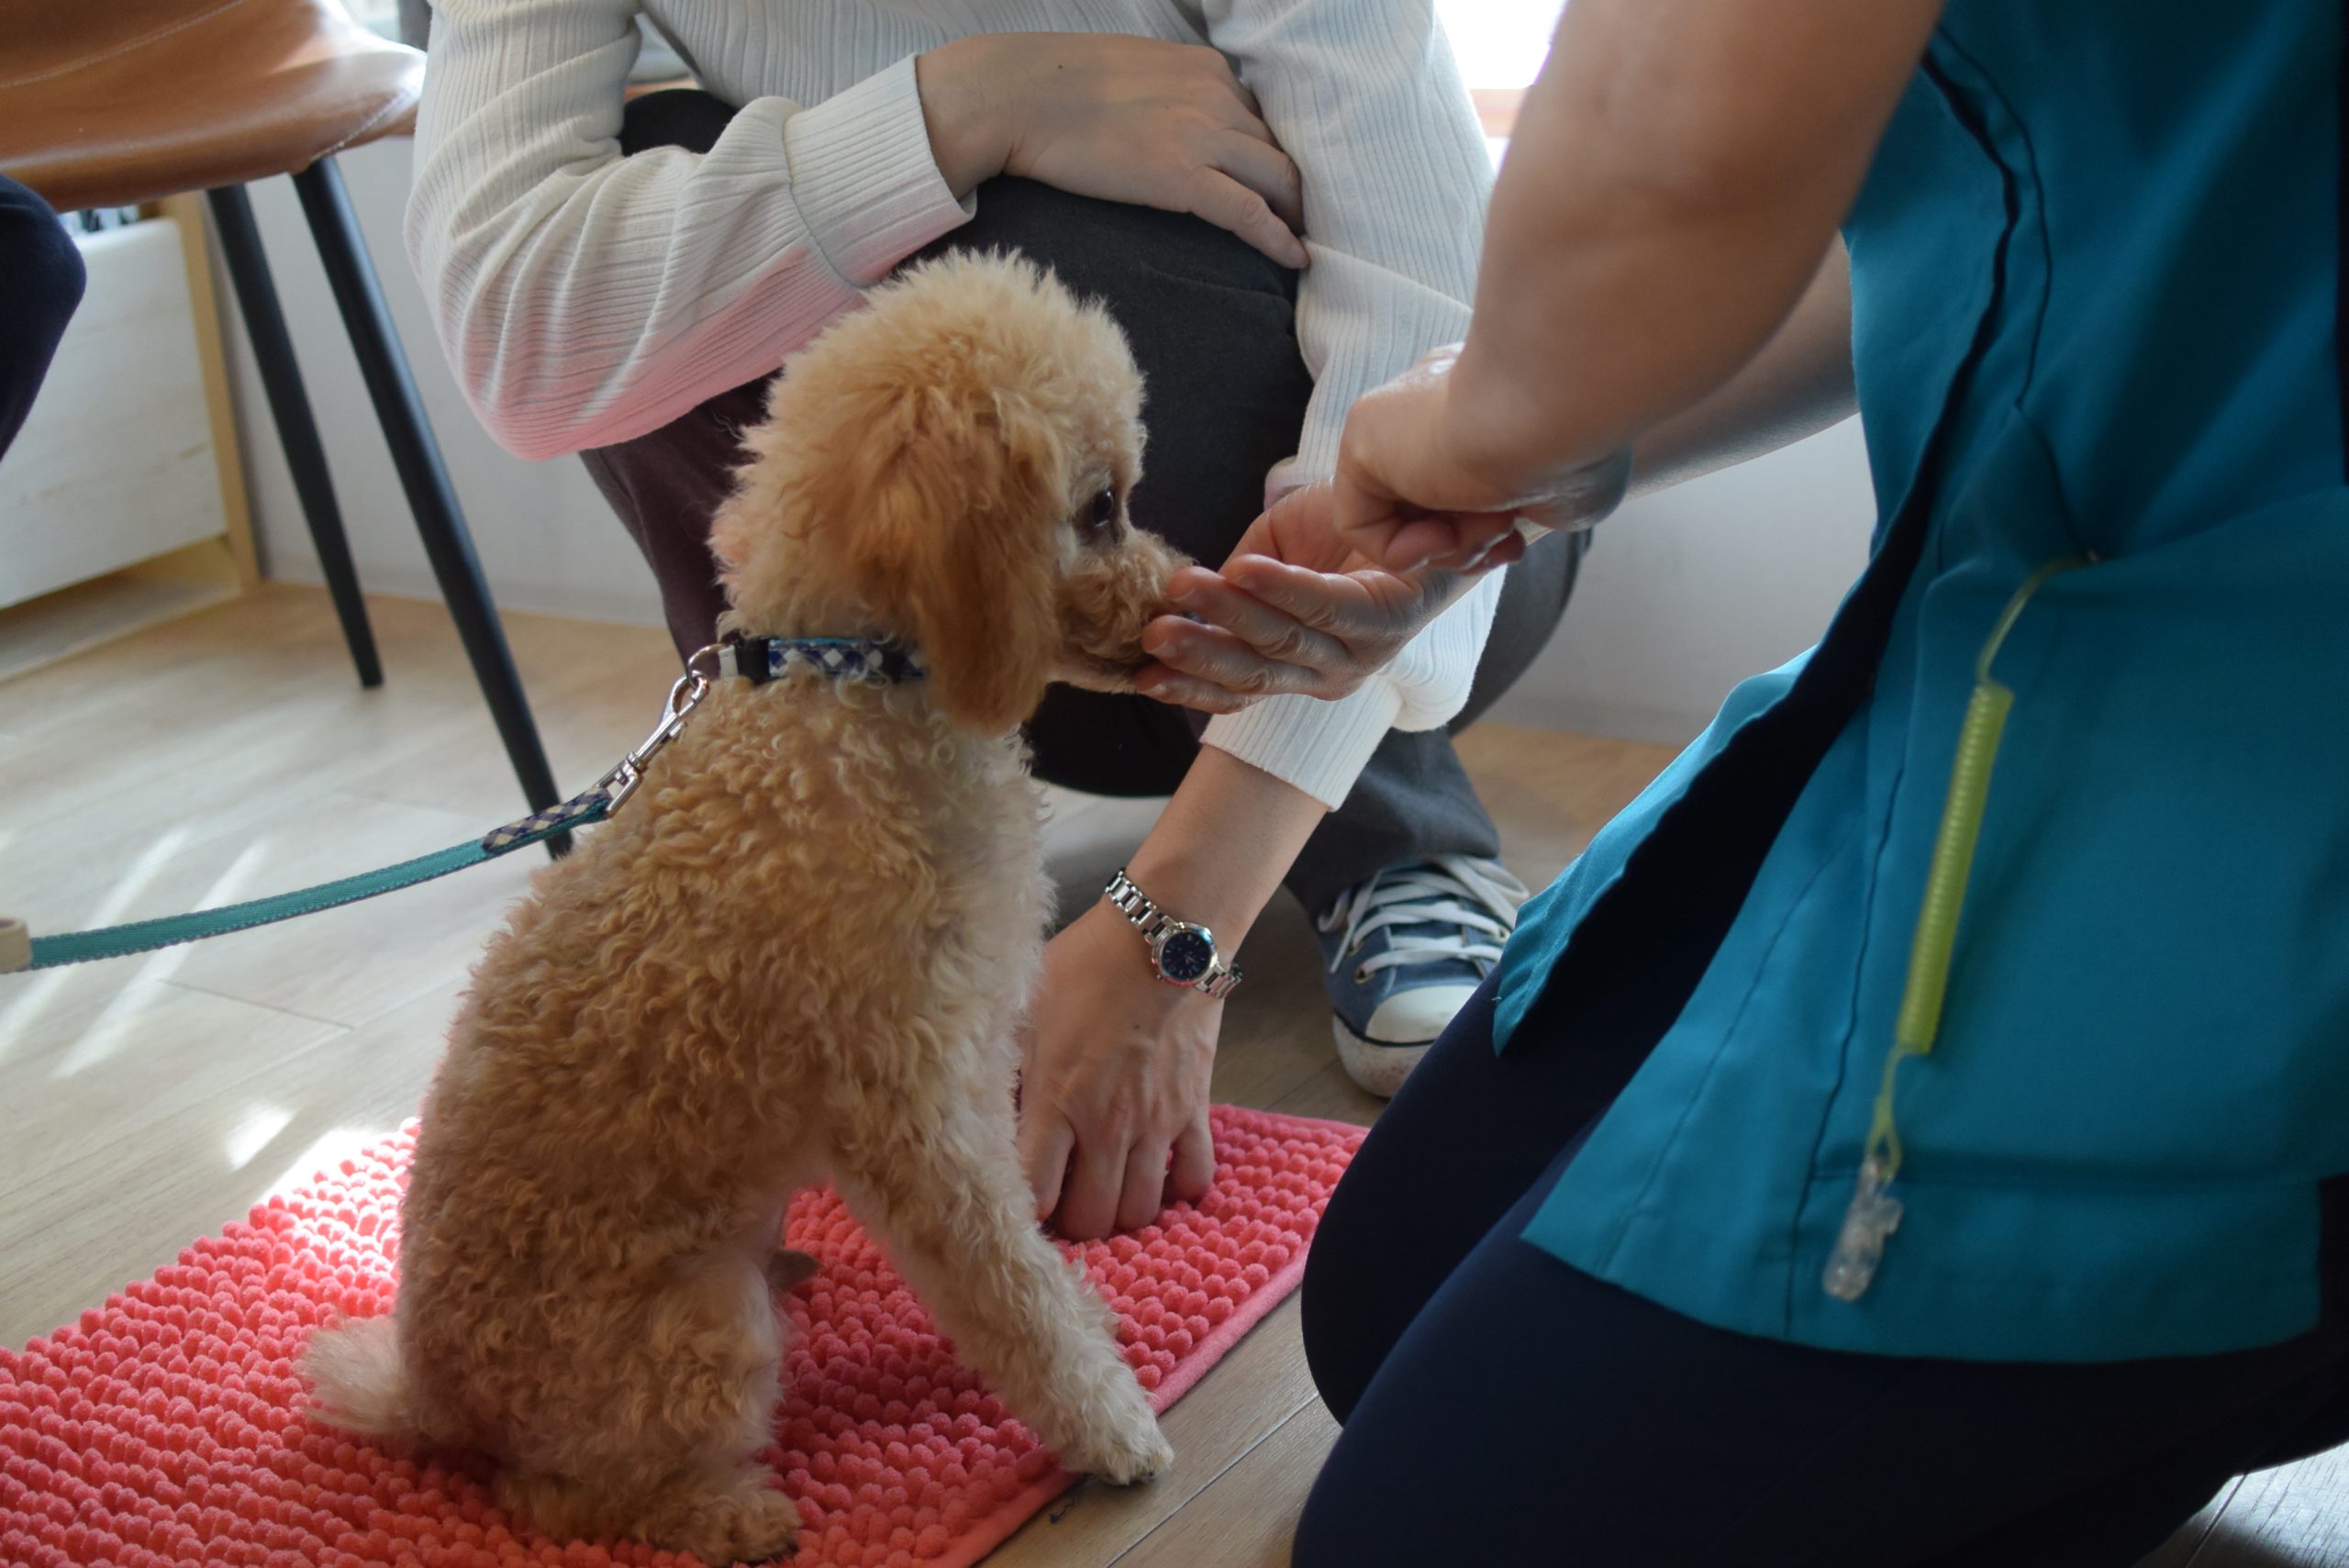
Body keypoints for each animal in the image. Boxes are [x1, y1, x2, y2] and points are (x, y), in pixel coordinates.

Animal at [302, 252, 1183, 1564]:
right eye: (1099, 507)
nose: (1178, 597)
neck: (852, 691)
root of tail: (431, 1395)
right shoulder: (912, 1116)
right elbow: (1005, 1291)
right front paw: (1111, 1427)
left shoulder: (971, 1062)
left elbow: (1026, 1256)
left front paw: (1091, 1324)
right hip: (699, 1326)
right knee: (557, 1495)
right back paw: (731, 1511)